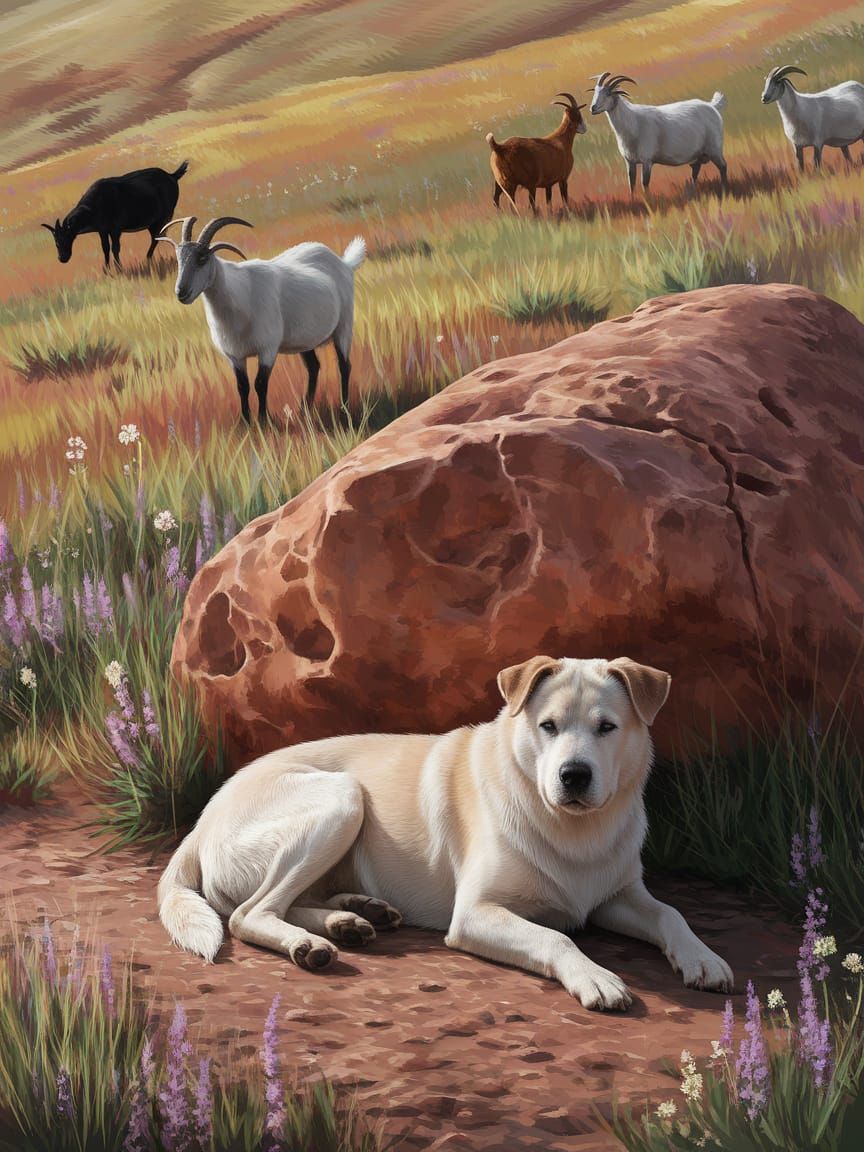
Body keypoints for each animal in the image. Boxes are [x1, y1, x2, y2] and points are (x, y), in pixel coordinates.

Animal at [42, 162, 188, 271]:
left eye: (66, 237)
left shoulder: (115, 229)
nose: (62, 258)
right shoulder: (102, 230)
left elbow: (115, 248)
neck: (94, 207)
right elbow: (105, 248)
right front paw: (106, 269)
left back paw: (149, 258)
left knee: (156, 237)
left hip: (163, 217)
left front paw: (119, 268)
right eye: (56, 241)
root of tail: (172, 176)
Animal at [157, 216, 365, 425]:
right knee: (314, 367)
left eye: (202, 259)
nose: (181, 292)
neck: (240, 296)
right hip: (304, 339)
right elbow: (242, 386)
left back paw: (343, 409)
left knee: (344, 366)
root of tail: (344, 263)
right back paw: (304, 409)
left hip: (343, 327)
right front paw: (246, 421)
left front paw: (264, 420)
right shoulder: (234, 355)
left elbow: (260, 383)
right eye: (179, 259)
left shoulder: (267, 349)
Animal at [590, 73, 728, 194]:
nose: (593, 108)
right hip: (697, 155)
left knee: (723, 167)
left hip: (714, 149)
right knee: (695, 171)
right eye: (595, 92)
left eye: (608, 93)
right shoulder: (629, 161)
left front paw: (648, 201)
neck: (633, 122)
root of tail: (712, 105)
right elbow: (631, 184)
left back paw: (725, 188)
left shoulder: (647, 160)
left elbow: (644, 183)